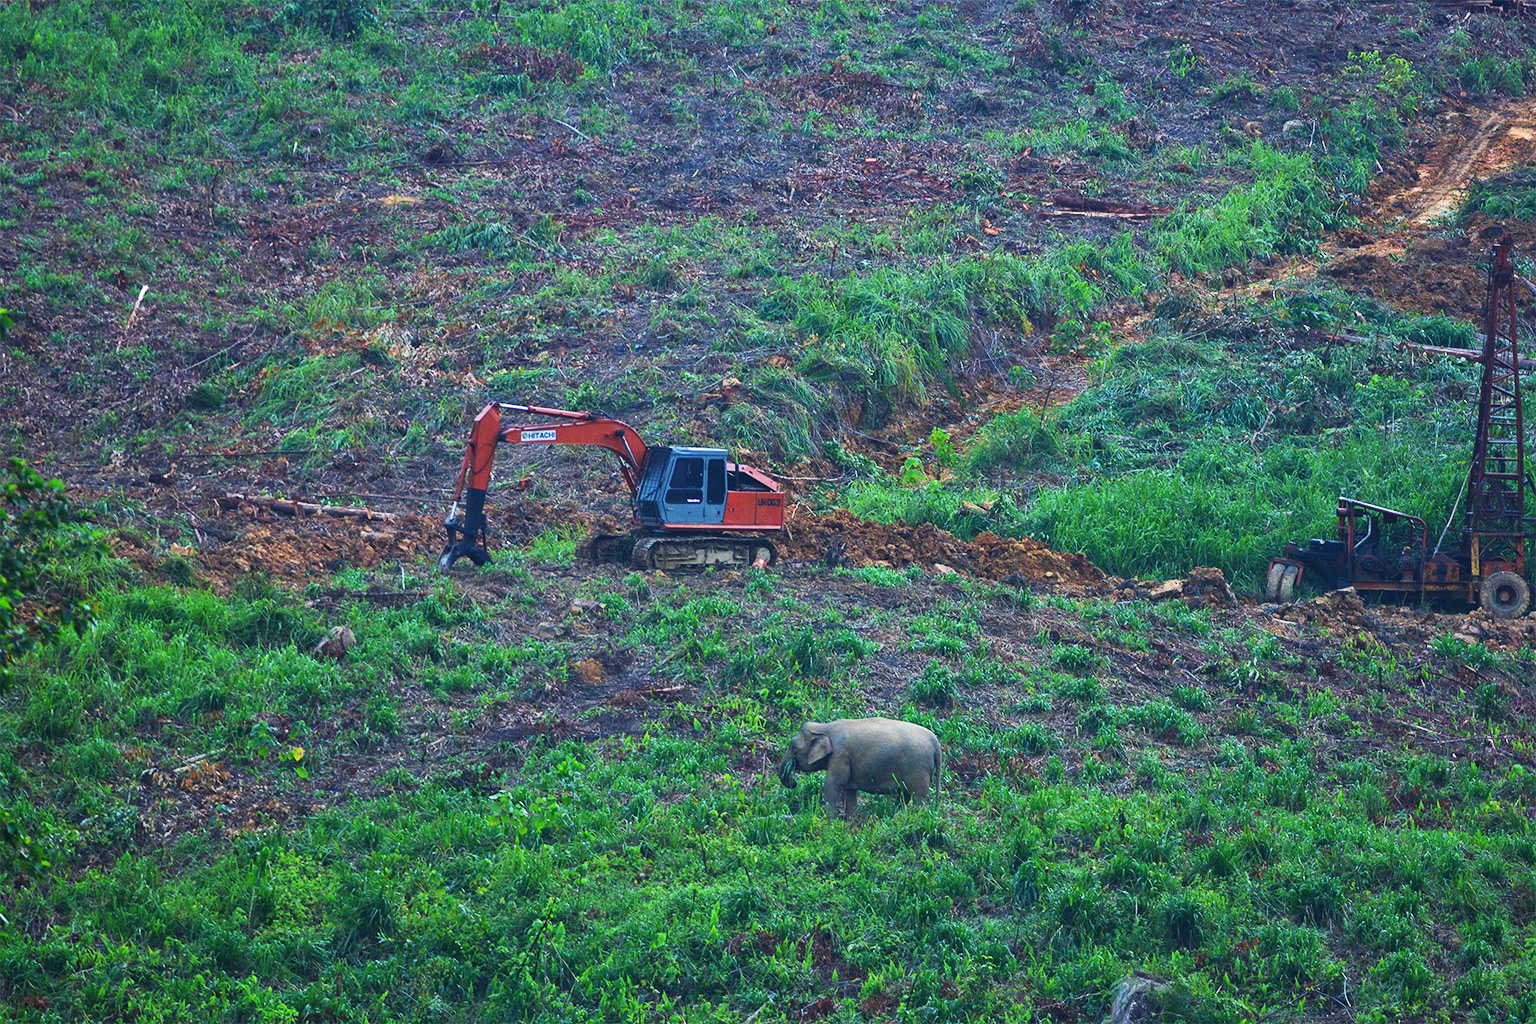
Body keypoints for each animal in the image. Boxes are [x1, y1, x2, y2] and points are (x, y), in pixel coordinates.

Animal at [774, 721, 940, 816]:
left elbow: (833, 784)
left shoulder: (840, 754)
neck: (824, 726)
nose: (794, 782)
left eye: (793, 746)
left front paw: (830, 821)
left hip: (918, 769)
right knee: (905, 795)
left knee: (918, 797)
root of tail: (936, 742)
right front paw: (851, 821)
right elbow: (850, 791)